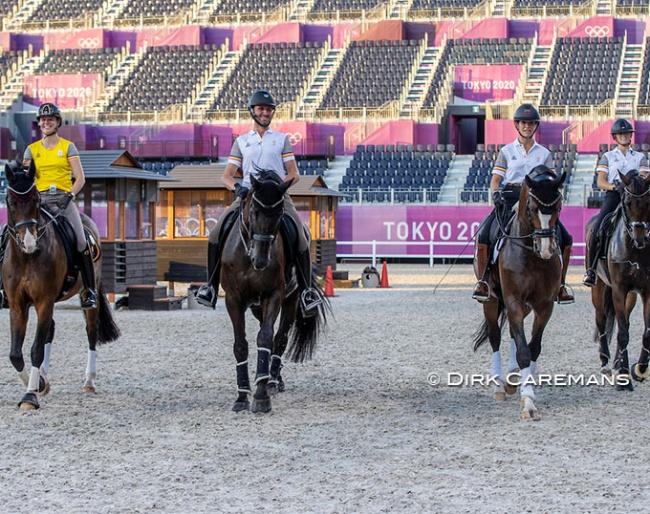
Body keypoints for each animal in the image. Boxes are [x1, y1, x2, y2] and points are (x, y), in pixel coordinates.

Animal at [2, 161, 120, 408]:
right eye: (10, 201)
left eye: (37, 200)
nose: (29, 243)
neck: (26, 258)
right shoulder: (17, 305)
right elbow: (15, 354)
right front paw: (38, 384)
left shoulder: (44, 301)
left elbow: (36, 349)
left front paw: (30, 395)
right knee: (51, 330)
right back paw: (45, 378)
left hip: (86, 294)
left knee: (91, 331)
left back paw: (89, 382)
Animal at [219, 170, 330, 410]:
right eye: (253, 210)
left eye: (279, 214)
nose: (261, 260)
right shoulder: (233, 299)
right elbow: (240, 344)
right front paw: (242, 395)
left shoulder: (274, 295)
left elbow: (266, 338)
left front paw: (261, 395)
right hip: (256, 306)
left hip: (292, 299)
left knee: (279, 339)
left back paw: (271, 380)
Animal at [470, 166, 568, 418]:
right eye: (532, 208)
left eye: (558, 207)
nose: (546, 249)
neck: (531, 254)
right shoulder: (512, 300)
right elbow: (523, 350)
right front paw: (529, 403)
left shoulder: (544, 305)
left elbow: (533, 348)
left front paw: (527, 389)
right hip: (492, 300)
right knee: (495, 336)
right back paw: (499, 386)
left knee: (515, 334)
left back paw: (513, 377)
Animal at [584, 168, 648, 388]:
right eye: (627, 203)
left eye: (649, 202)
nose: (640, 238)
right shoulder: (619, 289)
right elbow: (622, 333)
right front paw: (624, 378)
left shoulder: (646, 291)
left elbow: (645, 331)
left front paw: (639, 369)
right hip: (599, 287)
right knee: (601, 319)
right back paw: (605, 361)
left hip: (630, 295)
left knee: (623, 320)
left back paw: (618, 361)